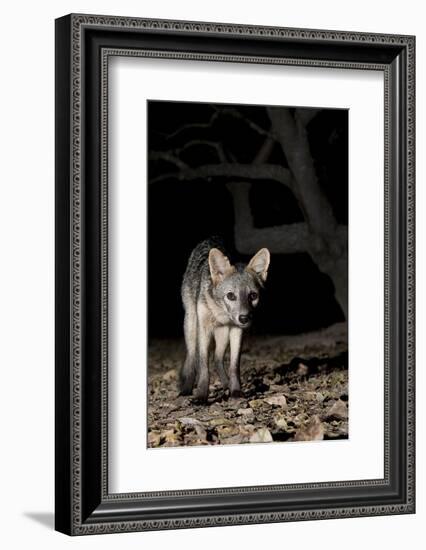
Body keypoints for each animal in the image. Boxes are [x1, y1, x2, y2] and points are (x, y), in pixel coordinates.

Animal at [179, 239, 270, 404]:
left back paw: (227, 385)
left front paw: (235, 391)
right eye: (231, 296)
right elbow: (203, 365)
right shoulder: (204, 329)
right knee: (192, 357)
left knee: (217, 359)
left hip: (223, 334)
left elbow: (234, 365)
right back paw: (187, 389)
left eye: (253, 296)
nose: (244, 318)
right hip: (191, 326)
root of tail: (211, 238)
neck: (221, 313)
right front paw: (201, 395)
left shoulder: (237, 330)